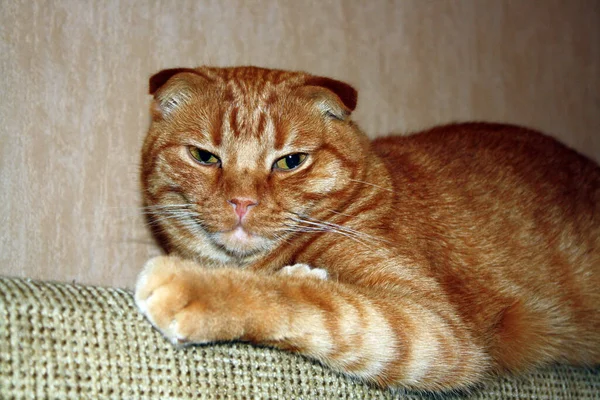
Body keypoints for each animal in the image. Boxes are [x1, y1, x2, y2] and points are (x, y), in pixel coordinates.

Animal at [136, 65, 600, 390]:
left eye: (291, 161)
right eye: (203, 156)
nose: (242, 203)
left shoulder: (434, 327)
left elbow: (309, 301)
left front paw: (195, 285)